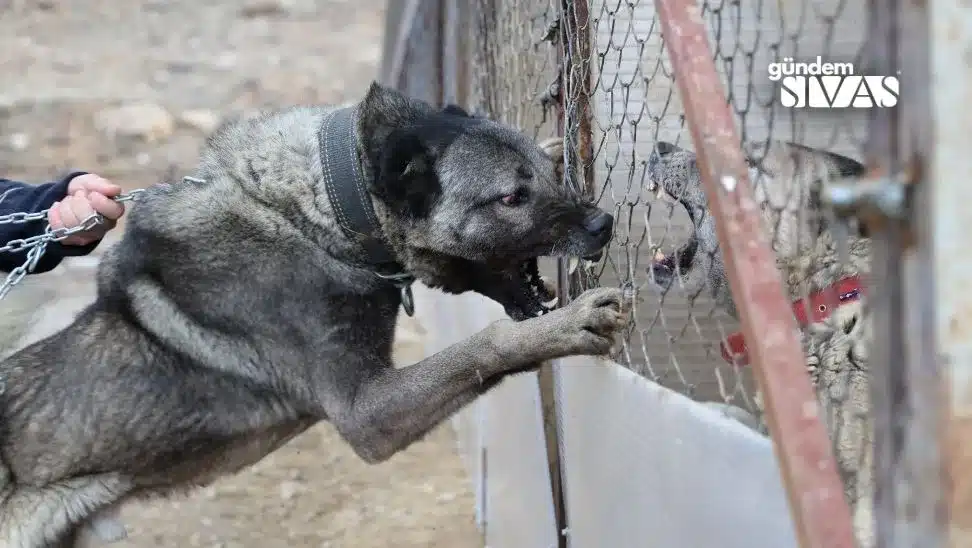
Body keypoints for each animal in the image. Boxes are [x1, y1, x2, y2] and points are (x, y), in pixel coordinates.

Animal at [0, 83, 628, 544]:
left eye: (544, 176)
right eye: (510, 198)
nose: (604, 225)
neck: (320, 212)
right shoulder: (366, 414)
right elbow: (487, 343)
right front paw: (569, 325)